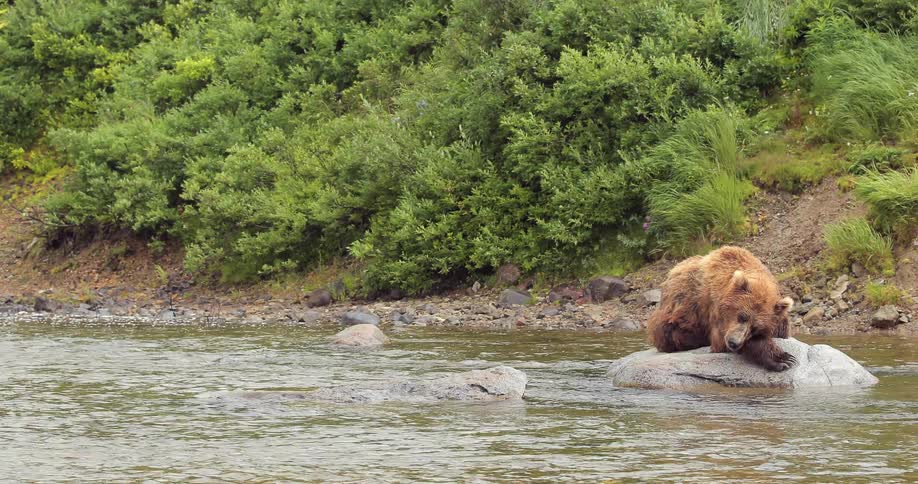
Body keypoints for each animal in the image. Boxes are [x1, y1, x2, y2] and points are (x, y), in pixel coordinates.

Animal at [647, 246, 796, 371]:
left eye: (755, 327)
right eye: (742, 316)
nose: (734, 343)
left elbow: (780, 332)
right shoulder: (716, 313)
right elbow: (721, 341)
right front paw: (782, 359)